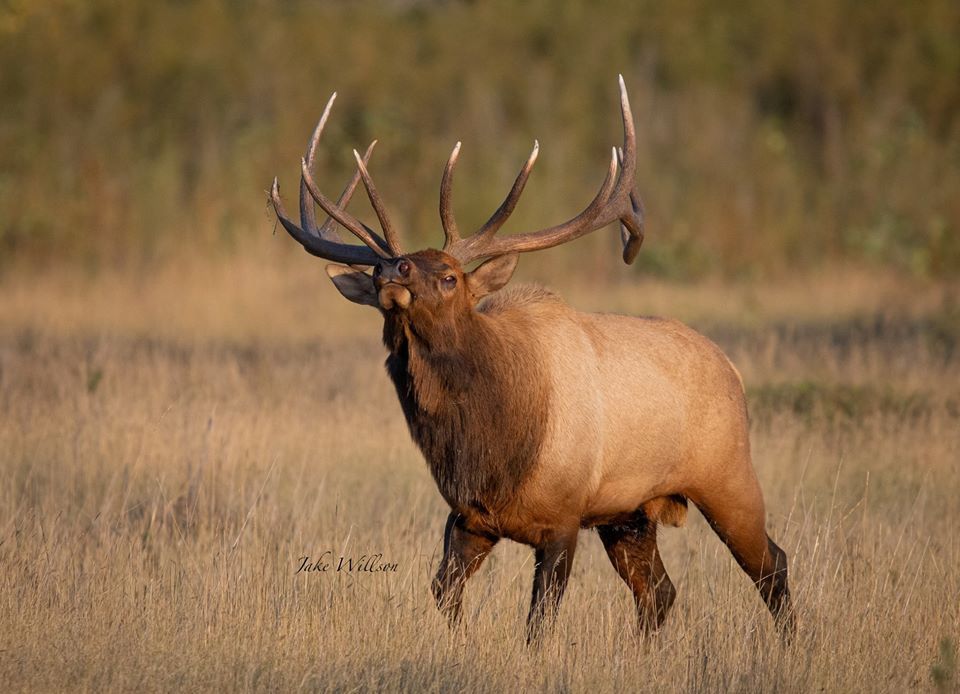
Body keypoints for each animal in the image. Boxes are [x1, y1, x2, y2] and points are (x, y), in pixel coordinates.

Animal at [269, 76, 795, 643]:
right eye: (379, 271)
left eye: (450, 276)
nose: (392, 270)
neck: (489, 448)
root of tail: (732, 369)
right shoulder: (469, 518)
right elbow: (442, 593)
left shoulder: (563, 518)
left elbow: (539, 620)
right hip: (630, 513)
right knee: (660, 592)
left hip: (728, 475)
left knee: (772, 565)